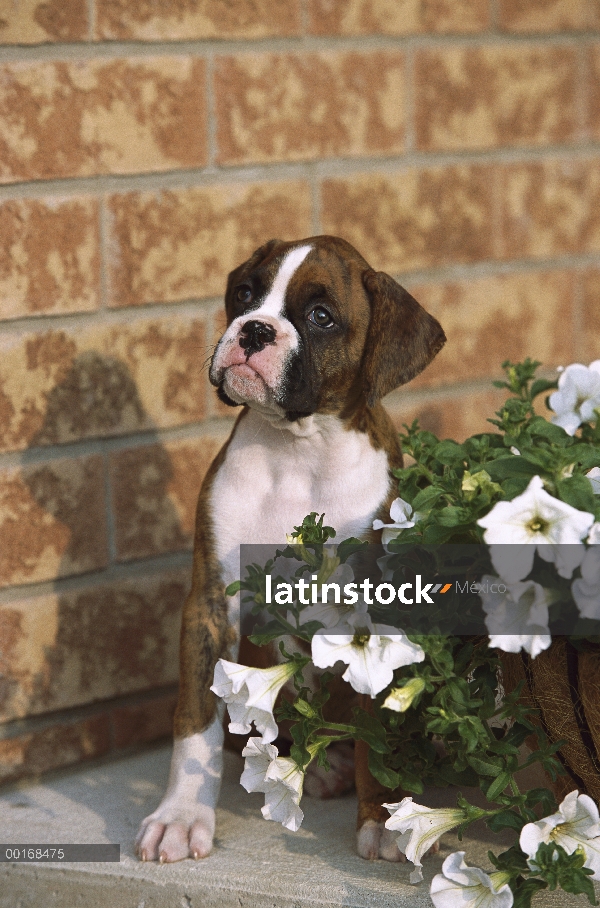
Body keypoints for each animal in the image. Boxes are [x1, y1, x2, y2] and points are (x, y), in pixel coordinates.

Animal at [136, 234, 446, 864]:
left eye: (321, 316)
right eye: (244, 294)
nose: (254, 330)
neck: (298, 449)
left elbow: (380, 729)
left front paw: (385, 816)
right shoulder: (211, 603)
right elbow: (196, 721)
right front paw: (181, 816)